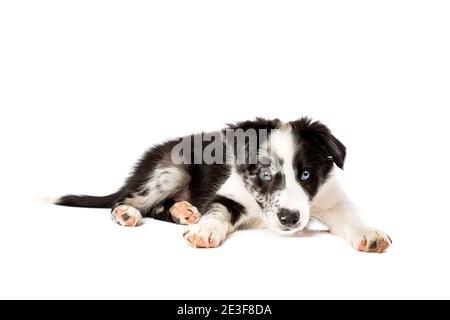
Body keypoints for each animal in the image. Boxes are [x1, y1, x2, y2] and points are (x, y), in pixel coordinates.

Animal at [51, 117, 392, 252]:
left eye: (306, 175)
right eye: (264, 174)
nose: (290, 219)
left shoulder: (332, 198)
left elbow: (352, 215)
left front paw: (370, 234)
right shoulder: (230, 194)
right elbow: (217, 212)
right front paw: (204, 230)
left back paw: (184, 211)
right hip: (171, 170)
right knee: (128, 199)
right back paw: (128, 213)